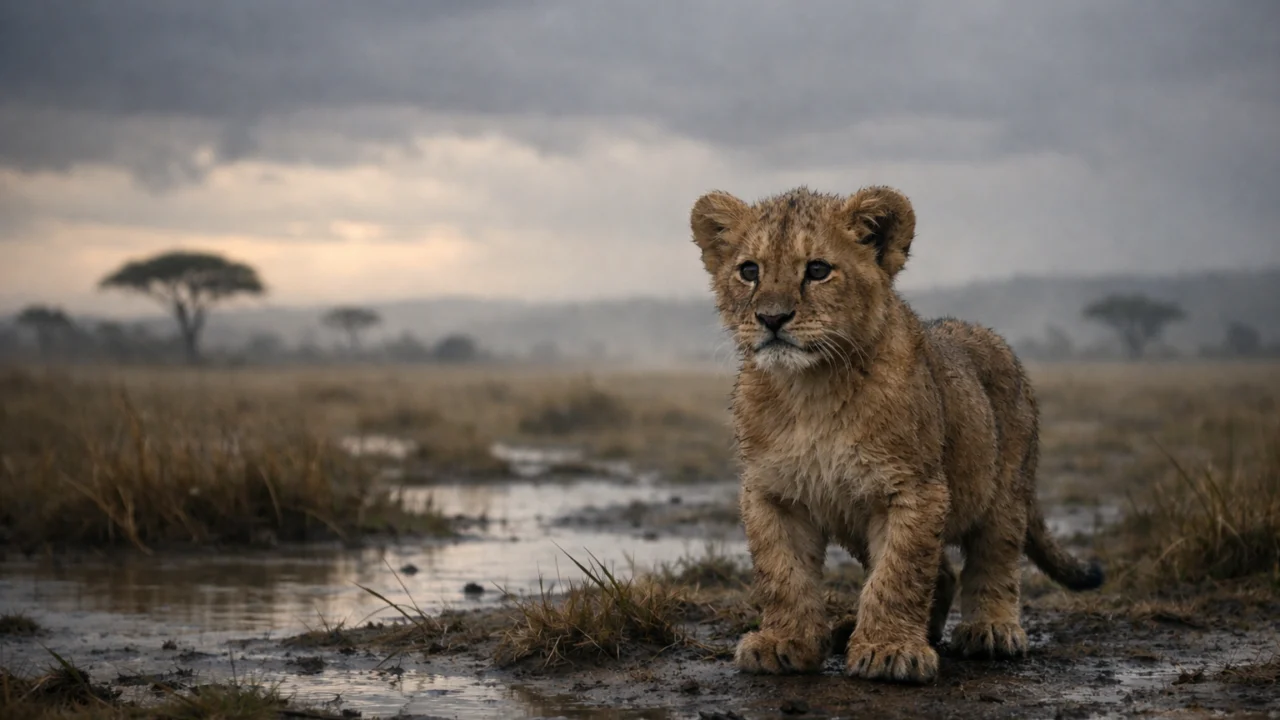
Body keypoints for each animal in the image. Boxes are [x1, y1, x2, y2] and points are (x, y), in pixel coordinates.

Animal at [689, 185, 1103, 684]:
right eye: (749, 271)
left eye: (818, 270)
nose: (771, 317)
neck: (811, 389)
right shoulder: (773, 492)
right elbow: (782, 573)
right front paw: (784, 643)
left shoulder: (913, 488)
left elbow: (898, 574)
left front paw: (889, 651)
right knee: (942, 572)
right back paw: (867, 631)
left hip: (1005, 488)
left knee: (994, 557)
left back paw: (991, 631)